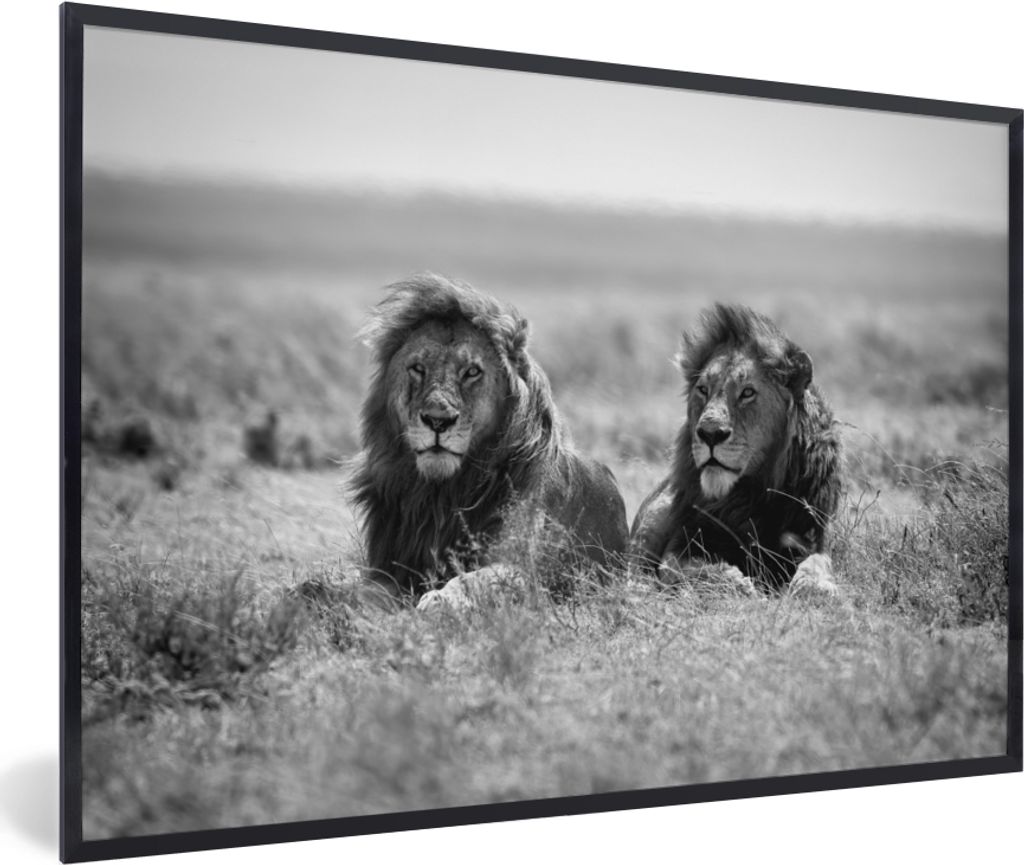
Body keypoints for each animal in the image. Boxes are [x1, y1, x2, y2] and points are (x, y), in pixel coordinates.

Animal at [350, 273, 629, 610]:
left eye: (472, 372)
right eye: (417, 368)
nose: (438, 420)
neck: (442, 494)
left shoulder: (524, 570)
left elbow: (474, 580)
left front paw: (440, 600)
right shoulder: (389, 567)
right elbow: (363, 591)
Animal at [630, 303, 842, 595]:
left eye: (747, 392)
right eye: (703, 390)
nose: (710, 433)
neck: (748, 496)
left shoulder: (811, 534)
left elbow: (818, 563)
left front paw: (815, 587)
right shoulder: (685, 540)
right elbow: (684, 569)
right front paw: (739, 584)